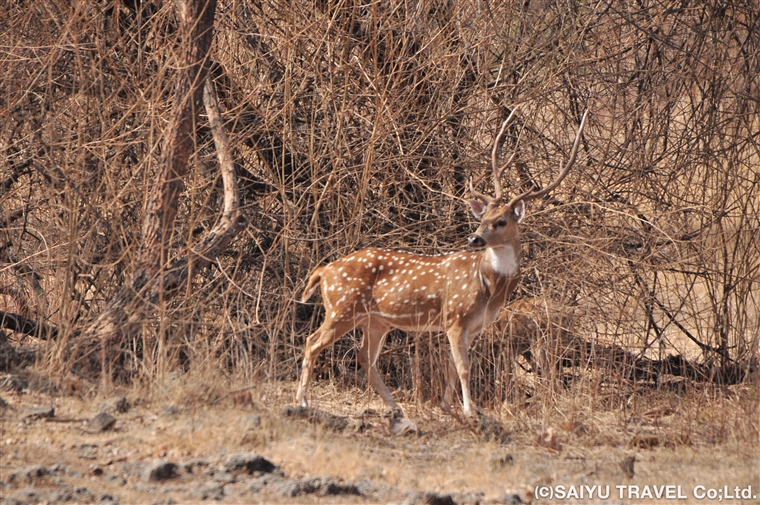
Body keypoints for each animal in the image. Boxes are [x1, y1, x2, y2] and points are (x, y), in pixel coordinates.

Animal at [296, 108, 588, 416]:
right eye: (483, 218)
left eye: (501, 221)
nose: (474, 238)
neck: (487, 286)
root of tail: (324, 271)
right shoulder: (455, 317)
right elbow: (463, 367)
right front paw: (470, 410)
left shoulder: (471, 327)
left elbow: (451, 367)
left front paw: (447, 407)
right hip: (343, 307)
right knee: (312, 342)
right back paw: (302, 401)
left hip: (375, 320)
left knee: (365, 357)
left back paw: (394, 406)